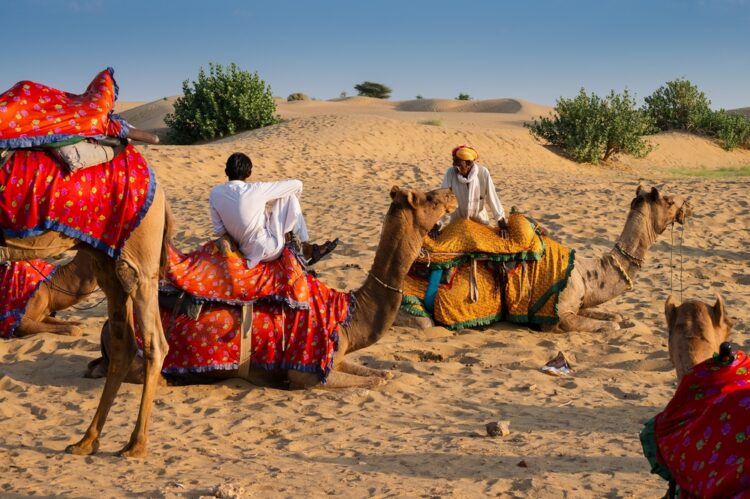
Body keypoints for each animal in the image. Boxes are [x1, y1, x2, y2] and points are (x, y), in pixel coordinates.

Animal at [0, 138, 171, 460]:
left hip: (139, 257)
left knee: (154, 341)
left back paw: (136, 444)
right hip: (108, 262)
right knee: (124, 345)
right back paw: (87, 440)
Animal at [92, 187, 458, 390]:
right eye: (428, 197)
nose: (452, 195)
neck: (347, 312)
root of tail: (106, 329)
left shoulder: (335, 358)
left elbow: (380, 374)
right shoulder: (306, 373)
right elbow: (372, 381)